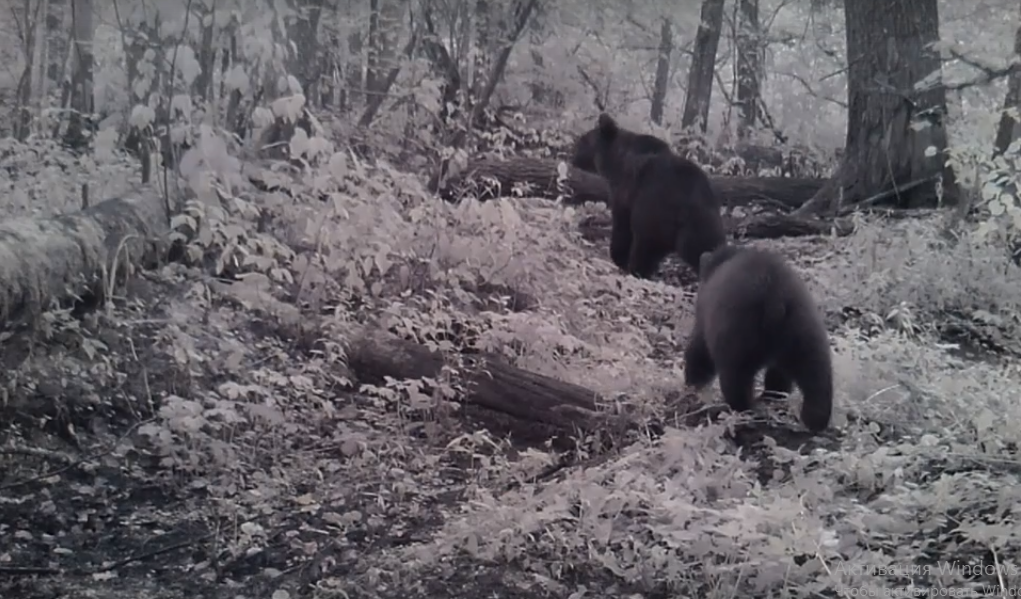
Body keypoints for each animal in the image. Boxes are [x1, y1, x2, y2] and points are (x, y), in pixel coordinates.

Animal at [592, 113, 726, 277]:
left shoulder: (626, 194)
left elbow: (622, 225)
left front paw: (620, 258)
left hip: (655, 213)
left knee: (645, 246)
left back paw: (638, 269)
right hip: (705, 222)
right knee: (706, 248)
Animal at [682, 244, 833, 436]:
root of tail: (775, 298)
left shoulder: (706, 316)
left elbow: (699, 350)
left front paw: (693, 384)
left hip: (737, 331)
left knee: (736, 378)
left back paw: (743, 413)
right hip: (803, 326)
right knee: (816, 373)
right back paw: (813, 420)